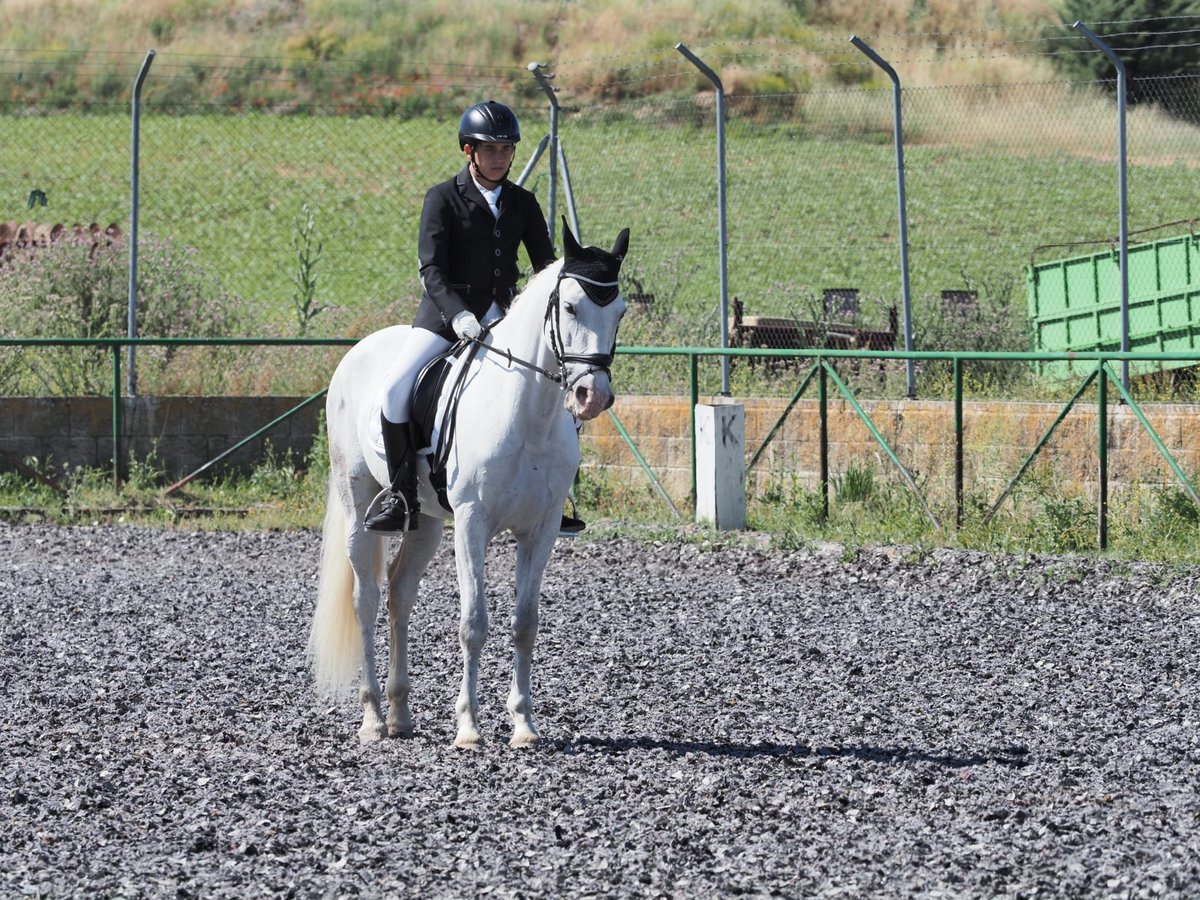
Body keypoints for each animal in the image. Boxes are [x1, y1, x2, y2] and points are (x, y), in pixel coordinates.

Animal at [307, 224, 628, 748]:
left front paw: (524, 725)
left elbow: (525, 623)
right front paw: (469, 728)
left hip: (424, 523)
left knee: (399, 594)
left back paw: (400, 714)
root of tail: (358, 350)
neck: (529, 413)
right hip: (356, 501)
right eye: (570, 307)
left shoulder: (540, 531)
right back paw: (373, 718)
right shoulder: (472, 524)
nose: (592, 395)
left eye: (618, 311)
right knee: (366, 599)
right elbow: (473, 622)